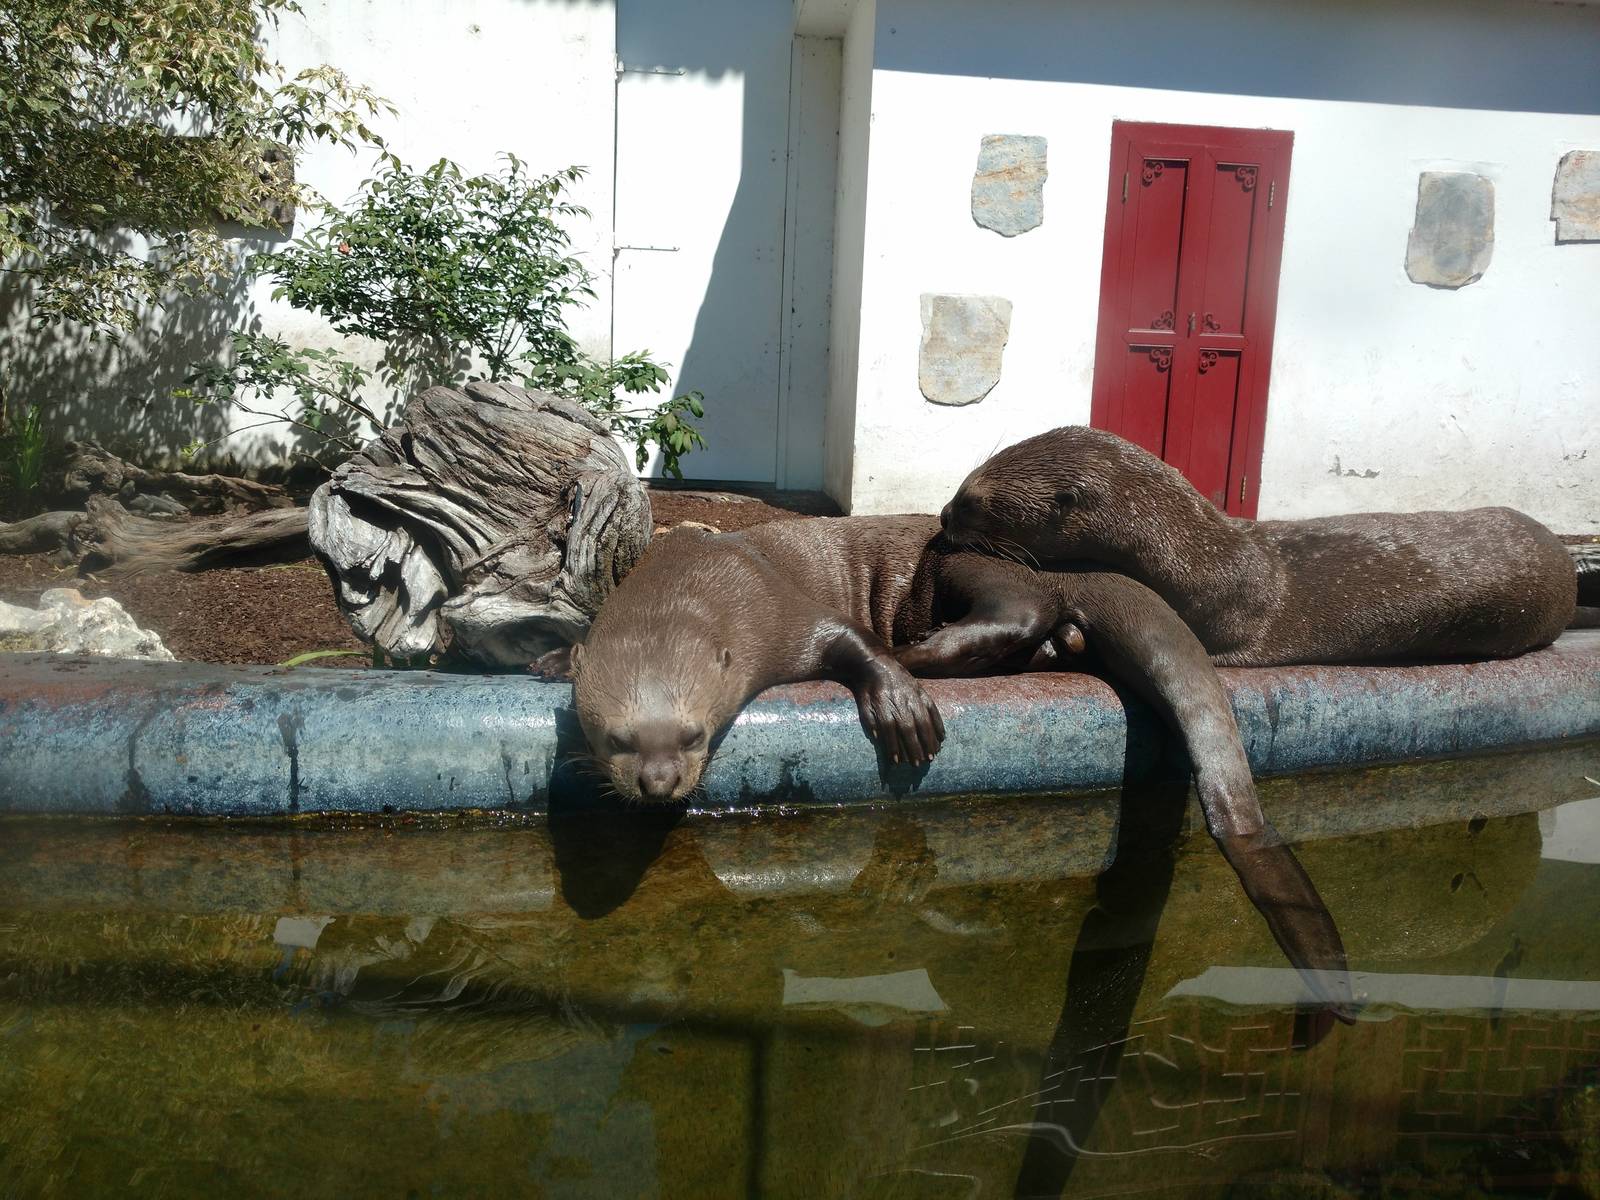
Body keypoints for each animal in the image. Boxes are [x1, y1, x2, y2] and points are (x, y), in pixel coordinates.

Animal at [568, 515, 1353, 1019]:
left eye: (694, 734)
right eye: (614, 741)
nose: (658, 781)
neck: (693, 577)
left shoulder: (778, 616)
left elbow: (847, 640)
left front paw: (896, 698)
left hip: (960, 559)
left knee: (1025, 602)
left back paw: (924, 656)